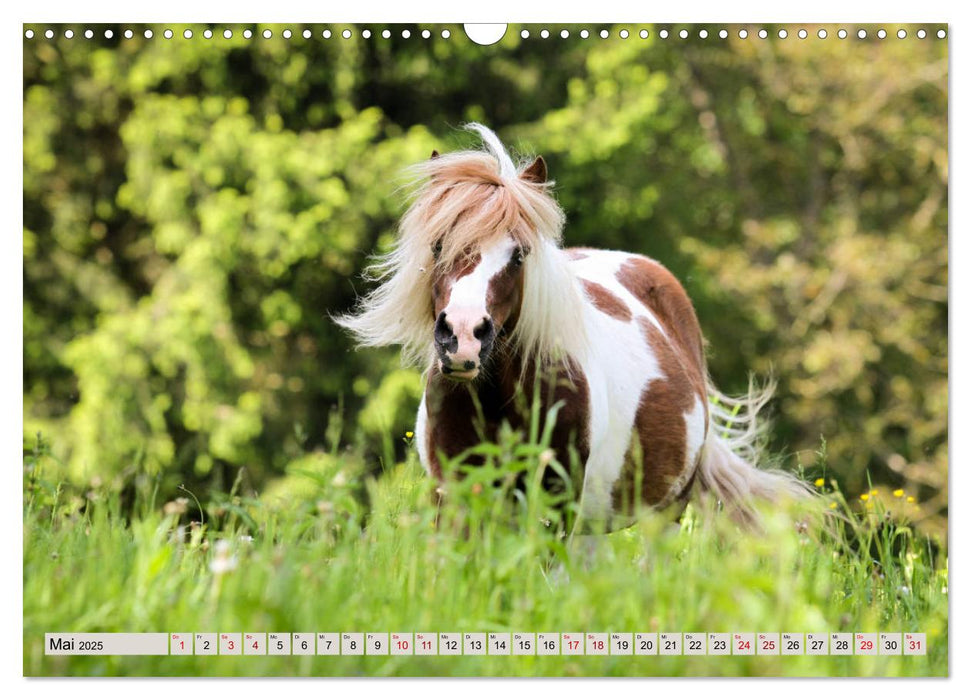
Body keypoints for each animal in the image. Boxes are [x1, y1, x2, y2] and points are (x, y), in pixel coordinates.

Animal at [338, 127, 808, 532]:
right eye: (438, 246)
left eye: (519, 254)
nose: (463, 337)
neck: (499, 405)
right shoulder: (455, 500)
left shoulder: (556, 507)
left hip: (663, 514)